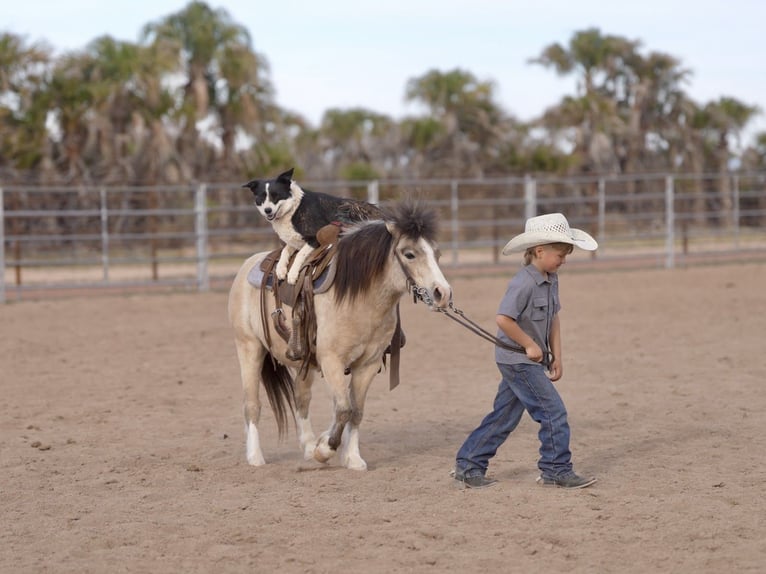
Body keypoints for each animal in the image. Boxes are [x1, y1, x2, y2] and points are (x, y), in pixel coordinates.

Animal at [227, 201, 452, 470]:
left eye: (437, 254)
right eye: (409, 254)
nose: (442, 293)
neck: (359, 299)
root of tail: (249, 263)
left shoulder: (367, 364)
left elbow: (356, 411)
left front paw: (352, 457)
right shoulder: (332, 362)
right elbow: (344, 409)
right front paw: (325, 450)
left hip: (303, 363)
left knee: (301, 399)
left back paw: (308, 447)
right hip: (249, 348)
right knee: (252, 404)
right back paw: (256, 457)